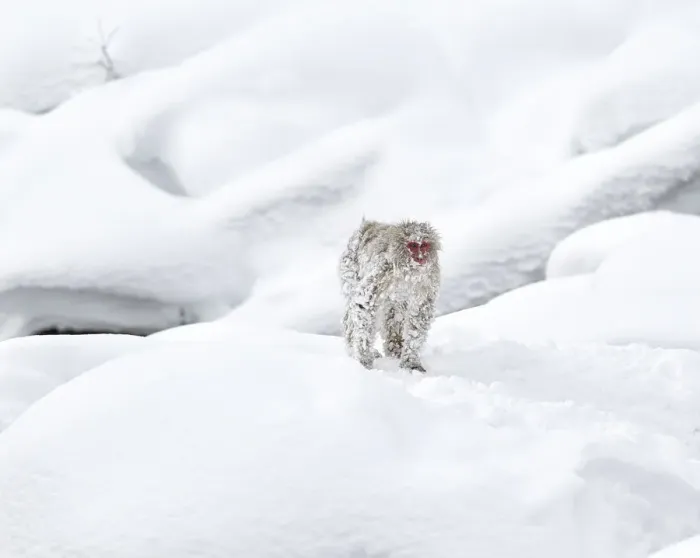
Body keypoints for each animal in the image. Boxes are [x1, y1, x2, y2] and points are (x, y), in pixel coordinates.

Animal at [338, 218, 441, 372]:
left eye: (424, 245)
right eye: (413, 246)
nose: (420, 257)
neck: (408, 271)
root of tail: (366, 225)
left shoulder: (428, 280)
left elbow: (419, 313)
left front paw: (410, 361)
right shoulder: (383, 270)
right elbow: (364, 305)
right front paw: (364, 360)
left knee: (394, 310)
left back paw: (395, 350)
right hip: (350, 268)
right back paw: (352, 350)